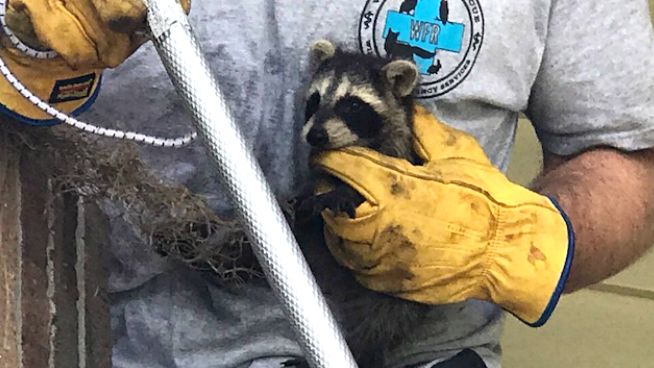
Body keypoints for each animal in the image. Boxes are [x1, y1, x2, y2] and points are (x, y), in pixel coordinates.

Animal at [292, 40, 430, 368]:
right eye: (315, 99)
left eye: (352, 105)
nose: (316, 135)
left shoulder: (398, 157)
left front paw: (344, 195)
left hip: (396, 299)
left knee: (380, 325)